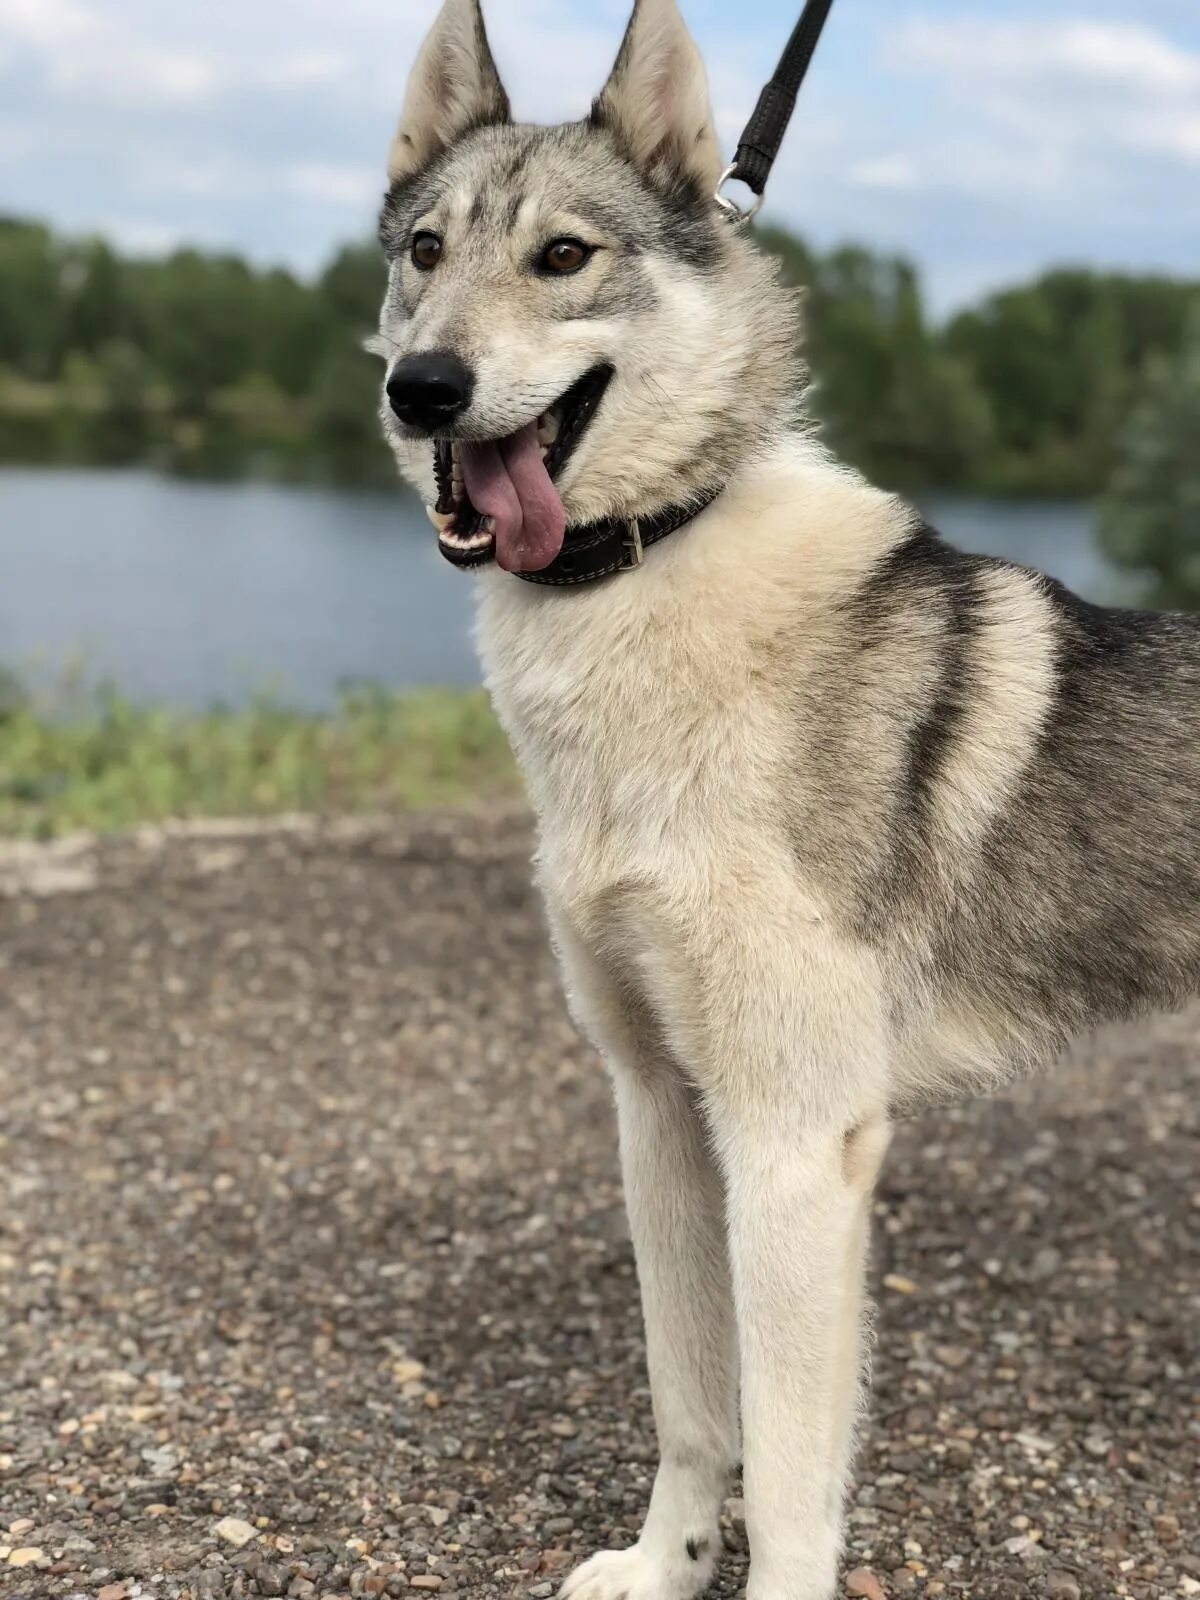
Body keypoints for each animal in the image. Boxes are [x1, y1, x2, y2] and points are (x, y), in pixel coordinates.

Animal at [374, 6, 1200, 1593]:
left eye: (563, 256)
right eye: (424, 252)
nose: (421, 386)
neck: (644, 570)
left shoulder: (795, 1147)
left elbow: (796, 1466)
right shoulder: (659, 1109)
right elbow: (693, 1405)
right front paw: (666, 1563)